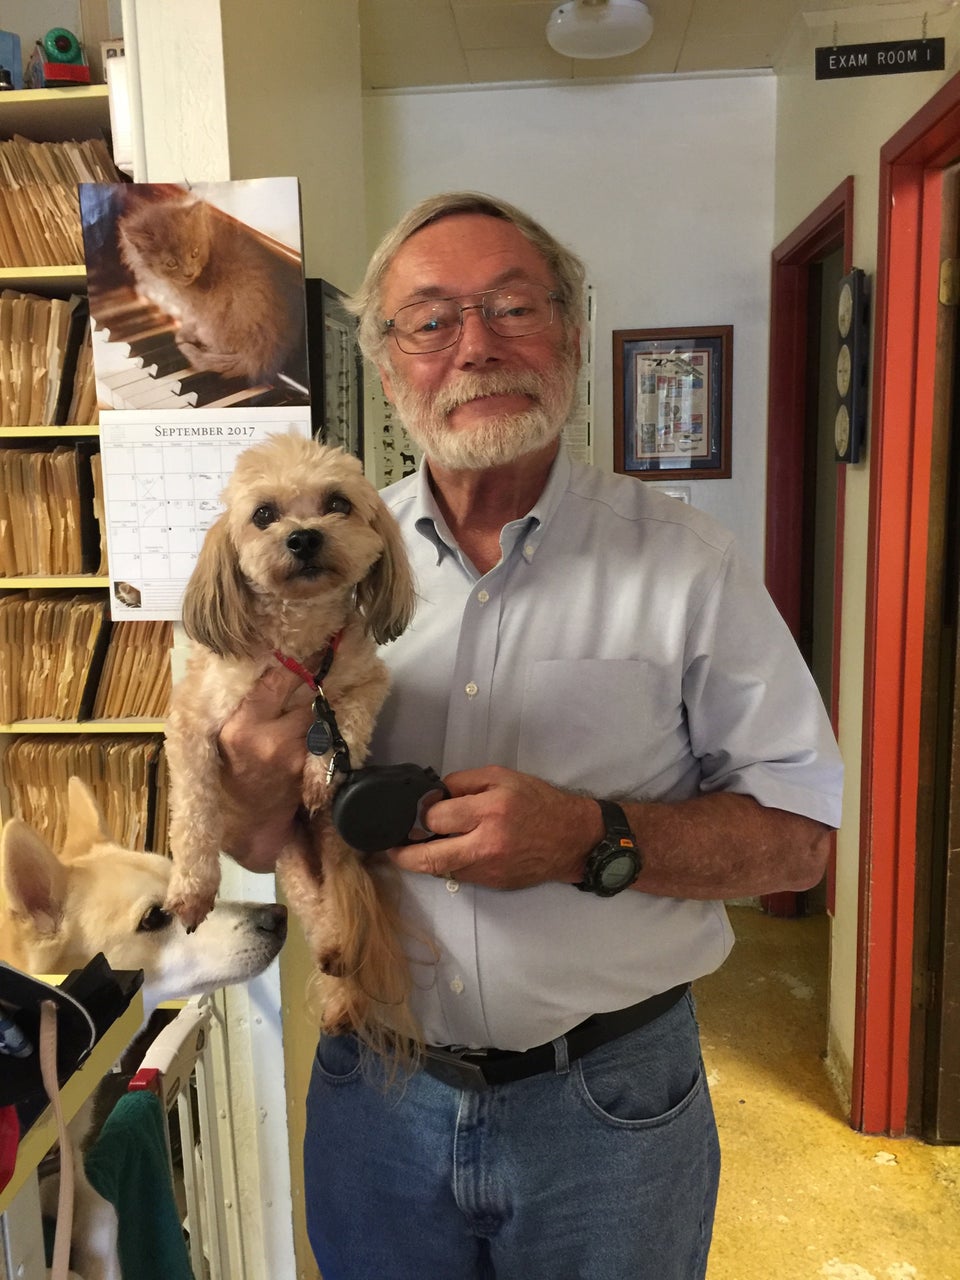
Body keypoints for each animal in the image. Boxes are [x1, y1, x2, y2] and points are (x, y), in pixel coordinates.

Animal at [116, 190, 305, 387]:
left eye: (194, 253)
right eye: (171, 263)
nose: (189, 273)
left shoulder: (195, 306)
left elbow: (190, 319)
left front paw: (184, 333)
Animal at [163, 431, 420, 1056]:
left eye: (337, 503)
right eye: (263, 515)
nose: (303, 537)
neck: (300, 649)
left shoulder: (364, 680)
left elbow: (348, 718)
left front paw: (316, 770)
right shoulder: (194, 722)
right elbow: (196, 809)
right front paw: (193, 888)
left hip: (329, 845)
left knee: (335, 915)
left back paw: (339, 972)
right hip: (294, 860)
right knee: (318, 913)